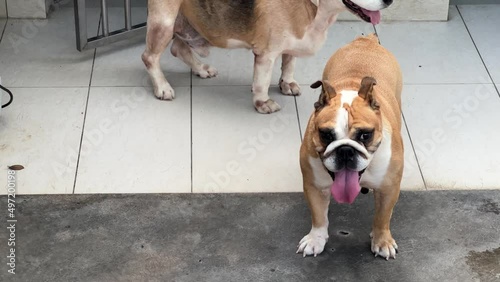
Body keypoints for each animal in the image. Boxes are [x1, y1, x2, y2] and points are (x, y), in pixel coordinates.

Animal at [143, 0, 392, 114]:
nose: (390, 1)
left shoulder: (289, 46)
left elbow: (289, 63)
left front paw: (287, 84)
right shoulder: (266, 53)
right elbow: (262, 82)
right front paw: (263, 103)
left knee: (178, 49)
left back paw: (201, 68)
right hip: (164, 21)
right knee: (149, 57)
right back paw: (162, 87)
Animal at [296, 34, 402, 260]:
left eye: (365, 135)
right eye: (326, 135)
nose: (345, 150)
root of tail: (366, 40)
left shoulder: (389, 187)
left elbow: (382, 216)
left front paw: (382, 241)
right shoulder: (314, 185)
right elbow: (318, 216)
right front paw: (315, 239)